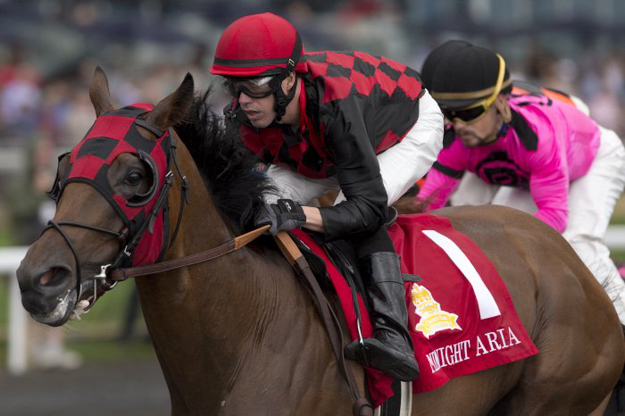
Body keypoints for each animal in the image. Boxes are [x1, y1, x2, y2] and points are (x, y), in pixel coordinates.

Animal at [17, 69, 620, 416]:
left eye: (135, 177)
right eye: (64, 166)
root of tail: (571, 261)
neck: (248, 328)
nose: (37, 278)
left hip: (557, 396)